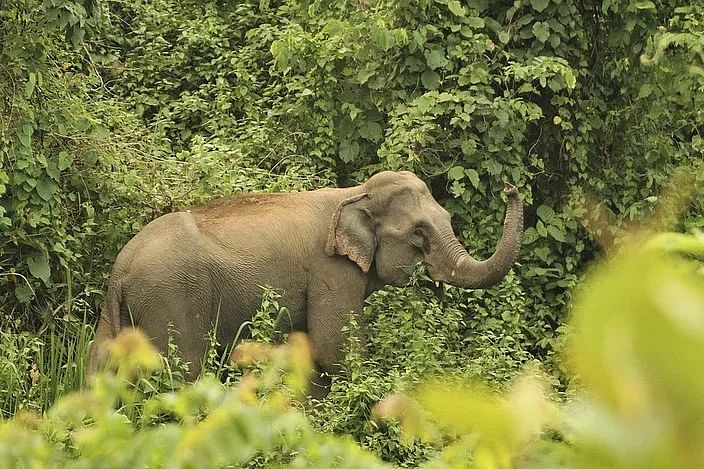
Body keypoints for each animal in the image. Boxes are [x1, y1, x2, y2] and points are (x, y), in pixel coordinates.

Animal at [88, 170, 524, 394]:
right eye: (419, 233)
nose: (510, 186)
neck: (355, 193)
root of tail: (121, 271)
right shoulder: (332, 271)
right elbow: (336, 350)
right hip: (171, 298)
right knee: (185, 372)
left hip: (116, 314)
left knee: (100, 366)